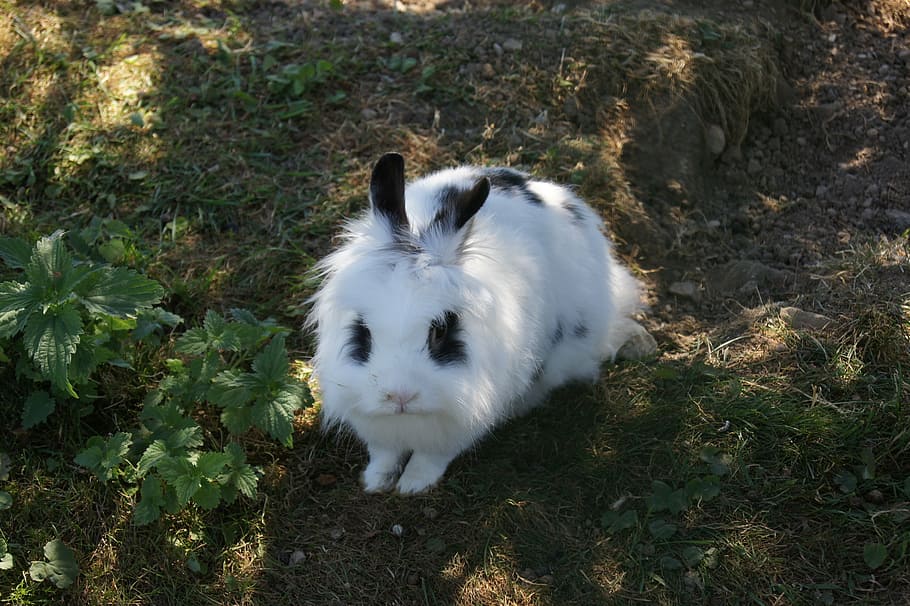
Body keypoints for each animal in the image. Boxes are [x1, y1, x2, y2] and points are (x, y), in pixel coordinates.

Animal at [307, 152, 654, 495]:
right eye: (363, 329)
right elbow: (384, 453)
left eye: (440, 330)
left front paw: (413, 485)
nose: (400, 396)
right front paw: (376, 482)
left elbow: (432, 457)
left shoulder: (464, 418)